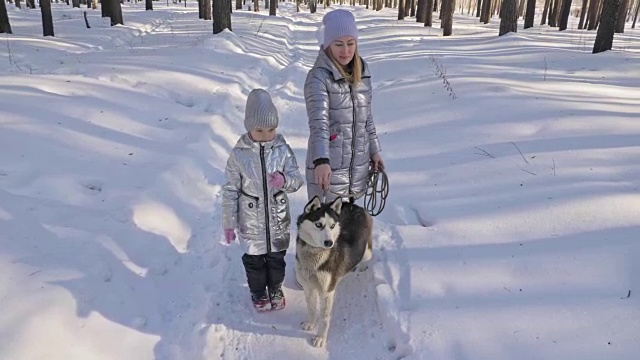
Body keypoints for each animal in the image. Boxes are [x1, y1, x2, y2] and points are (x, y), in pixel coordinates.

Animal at [294, 195, 372, 348]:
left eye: (332, 226)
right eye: (318, 225)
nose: (329, 243)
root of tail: (353, 205)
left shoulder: (327, 292)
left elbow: (324, 318)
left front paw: (320, 338)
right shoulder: (308, 287)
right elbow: (311, 308)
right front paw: (311, 323)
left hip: (366, 252)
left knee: (366, 257)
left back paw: (360, 267)